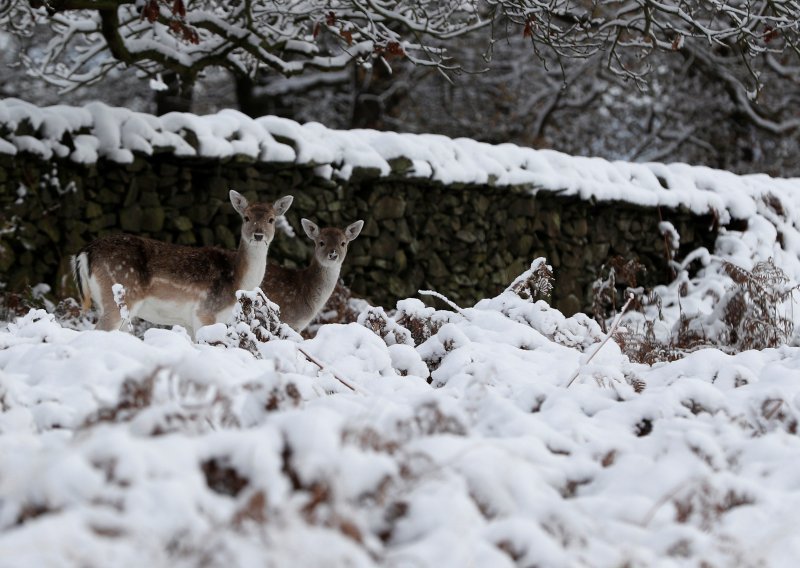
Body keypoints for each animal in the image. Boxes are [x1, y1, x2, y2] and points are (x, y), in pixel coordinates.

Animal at [72, 191, 294, 338]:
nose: (258, 235)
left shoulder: (187, 321)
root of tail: (85, 252)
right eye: (246, 217)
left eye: (271, 219)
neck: (237, 280)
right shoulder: (205, 312)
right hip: (120, 296)